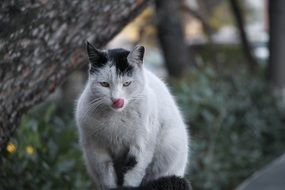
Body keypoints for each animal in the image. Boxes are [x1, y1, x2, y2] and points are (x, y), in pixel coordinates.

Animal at [75, 42, 189, 190]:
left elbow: (133, 173)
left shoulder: (140, 147)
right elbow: (106, 176)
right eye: (104, 84)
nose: (117, 100)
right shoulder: (96, 150)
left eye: (127, 83)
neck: (116, 119)